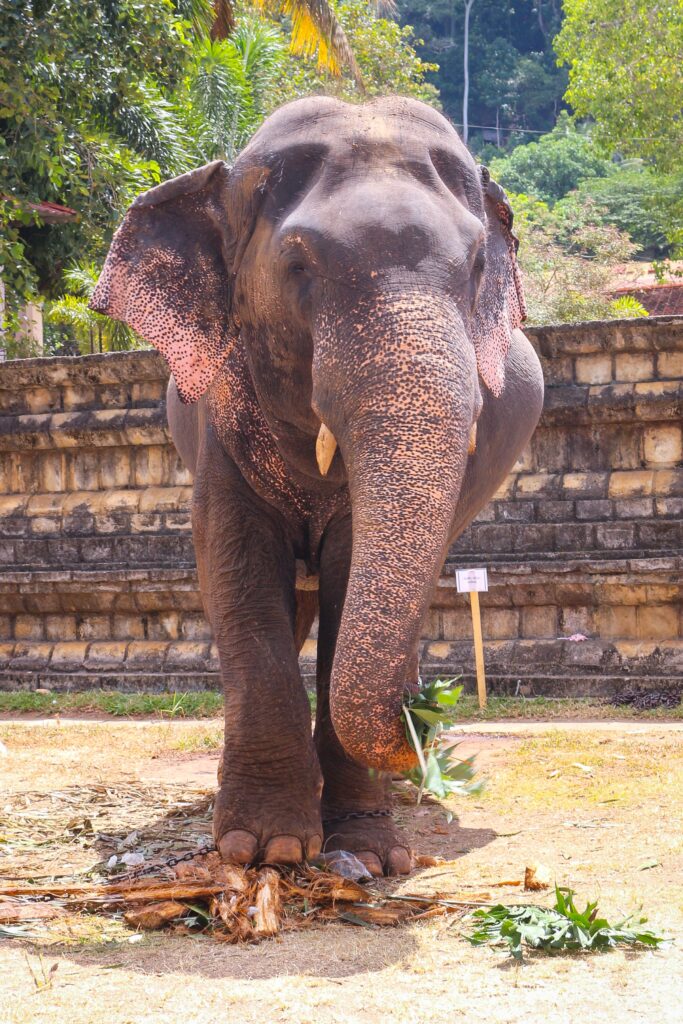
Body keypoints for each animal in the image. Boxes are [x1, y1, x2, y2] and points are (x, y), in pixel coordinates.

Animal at [91, 95, 544, 877]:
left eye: (477, 264)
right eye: (298, 263)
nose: (427, 712)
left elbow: (347, 571)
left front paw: (369, 852)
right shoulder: (218, 415)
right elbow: (236, 567)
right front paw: (263, 849)